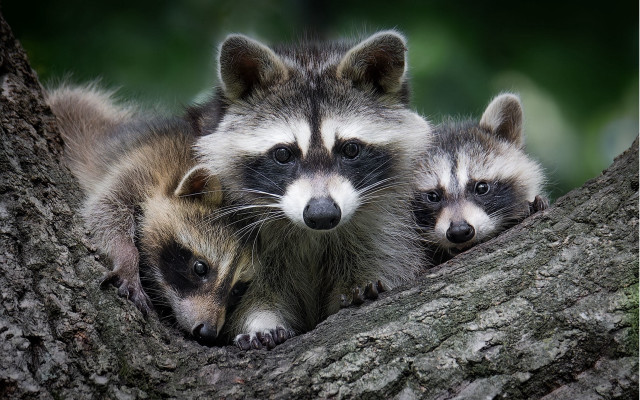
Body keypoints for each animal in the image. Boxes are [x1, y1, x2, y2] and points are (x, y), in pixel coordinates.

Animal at [47, 85, 253, 345]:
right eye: (200, 268)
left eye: (237, 289)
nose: (207, 332)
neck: (177, 170)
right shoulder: (142, 164)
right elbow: (105, 210)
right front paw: (126, 256)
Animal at [191, 31, 432, 349]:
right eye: (283, 154)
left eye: (350, 149)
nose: (321, 214)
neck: (313, 236)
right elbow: (254, 294)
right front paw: (260, 320)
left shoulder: (385, 224)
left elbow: (387, 260)